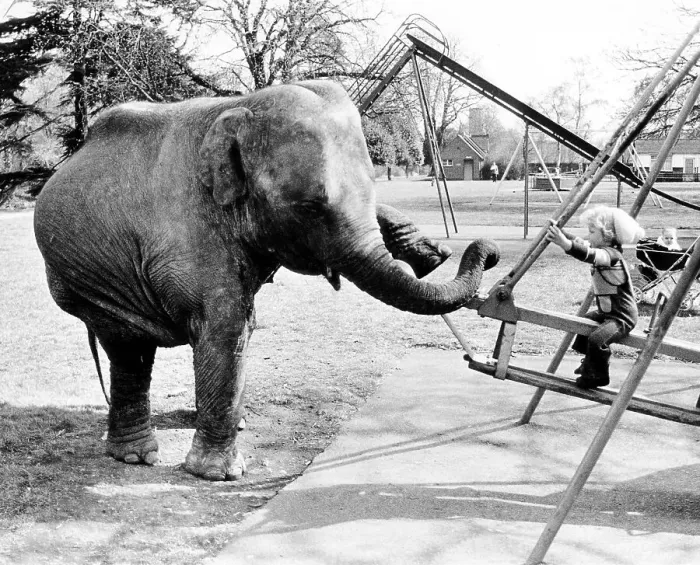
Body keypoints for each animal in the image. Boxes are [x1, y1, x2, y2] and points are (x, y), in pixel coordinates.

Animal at [33, 80, 499, 481]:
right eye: (311, 207)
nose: (489, 252)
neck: (238, 107)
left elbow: (236, 327)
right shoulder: (189, 234)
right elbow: (225, 327)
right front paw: (218, 475)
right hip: (87, 278)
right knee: (128, 348)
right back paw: (135, 456)